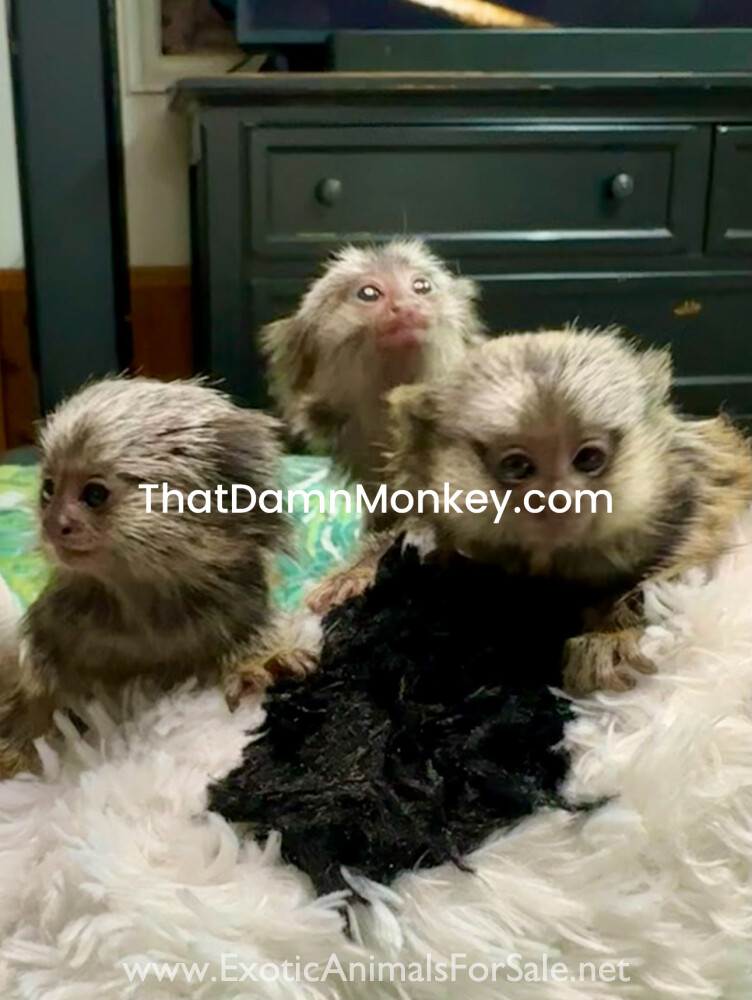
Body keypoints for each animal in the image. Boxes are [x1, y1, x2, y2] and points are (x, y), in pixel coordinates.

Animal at [0, 376, 289, 779]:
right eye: (48, 490)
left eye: (94, 494)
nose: (55, 524)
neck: (143, 606)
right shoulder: (59, 623)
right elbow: (40, 695)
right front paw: (22, 744)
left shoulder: (234, 605)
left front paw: (257, 667)